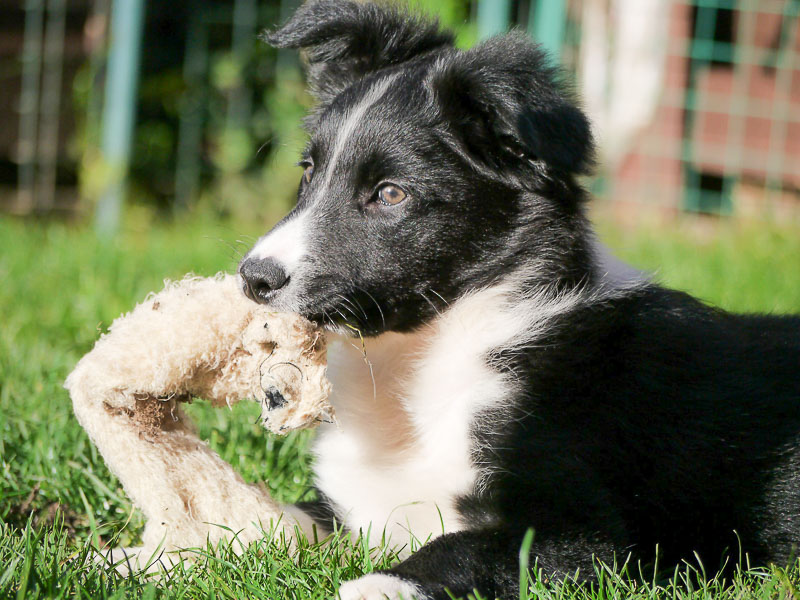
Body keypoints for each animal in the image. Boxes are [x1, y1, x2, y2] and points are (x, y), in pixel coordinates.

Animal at [238, 2, 800, 596]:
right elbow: (279, 518)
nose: (253, 278)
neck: (421, 358)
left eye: (390, 193)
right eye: (309, 171)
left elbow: (457, 549)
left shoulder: (587, 537)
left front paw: (378, 583)